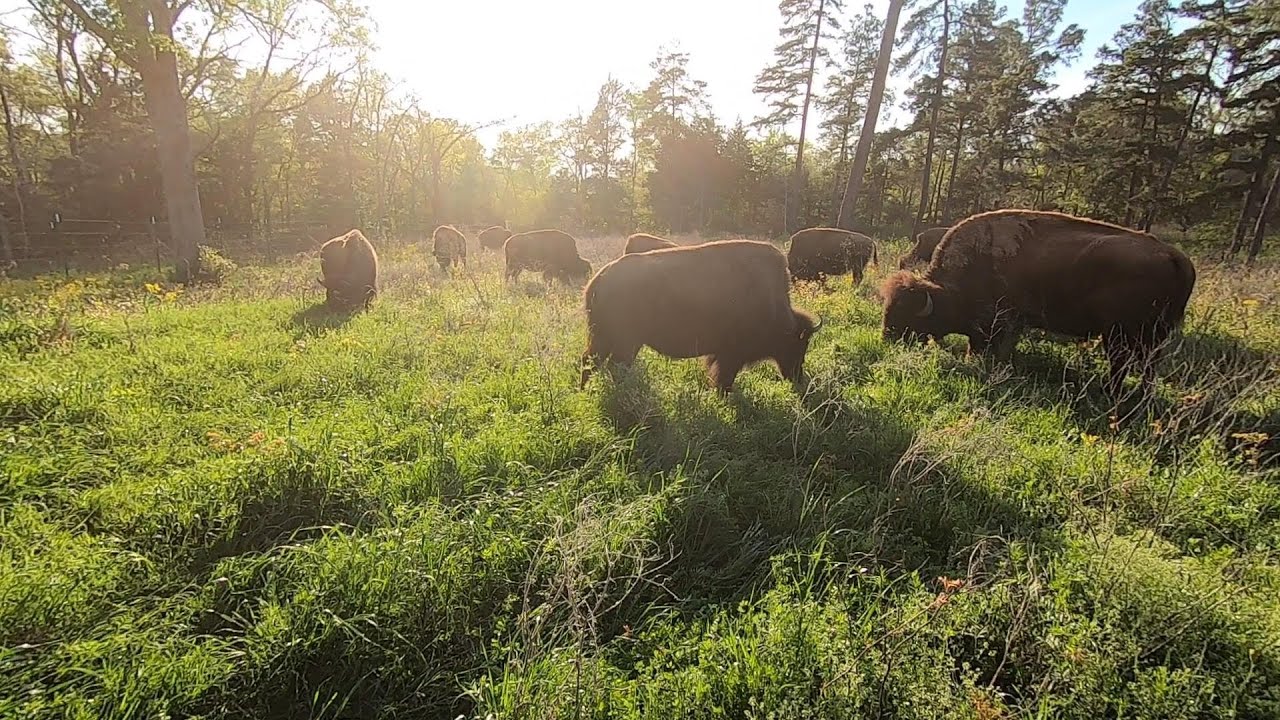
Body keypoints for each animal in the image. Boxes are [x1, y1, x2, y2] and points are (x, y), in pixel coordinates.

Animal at [581, 239, 822, 393]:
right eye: (799, 344)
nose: (798, 378)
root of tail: (599, 279)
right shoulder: (730, 355)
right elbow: (724, 377)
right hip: (624, 341)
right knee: (612, 365)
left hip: (605, 338)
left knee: (591, 361)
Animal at [880, 209, 1196, 397]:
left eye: (906, 316)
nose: (887, 338)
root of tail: (1176, 258)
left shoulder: (1001, 322)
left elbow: (985, 344)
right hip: (1150, 337)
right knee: (1146, 367)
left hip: (1121, 334)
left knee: (1122, 363)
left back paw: (1109, 391)